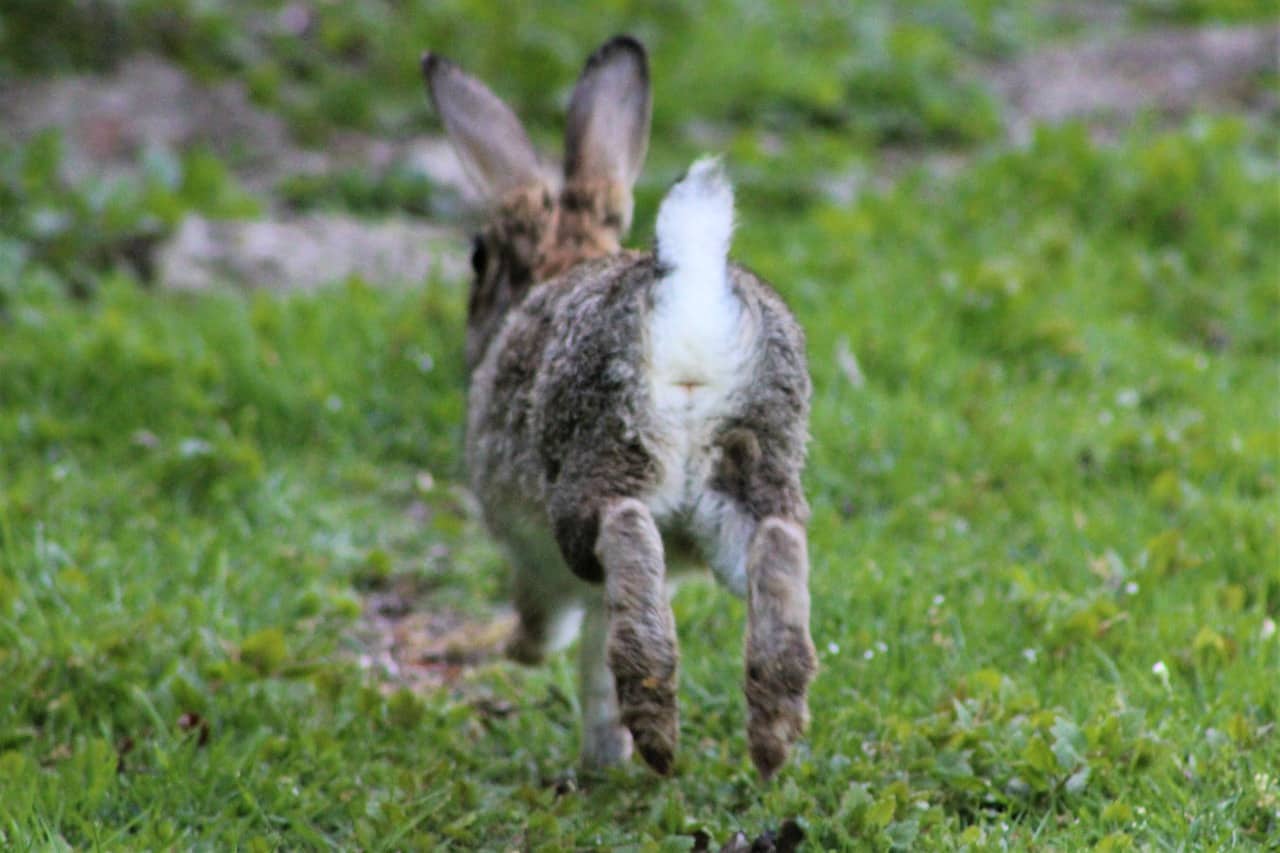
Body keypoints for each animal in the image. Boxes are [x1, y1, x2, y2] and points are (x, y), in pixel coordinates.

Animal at [421, 35, 816, 779]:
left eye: (480, 258)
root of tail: (688, 298)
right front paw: (607, 761)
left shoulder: (531, 557)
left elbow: (561, 635)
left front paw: (527, 660)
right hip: (745, 473)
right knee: (778, 544)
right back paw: (772, 735)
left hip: (600, 459)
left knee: (624, 530)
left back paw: (658, 733)